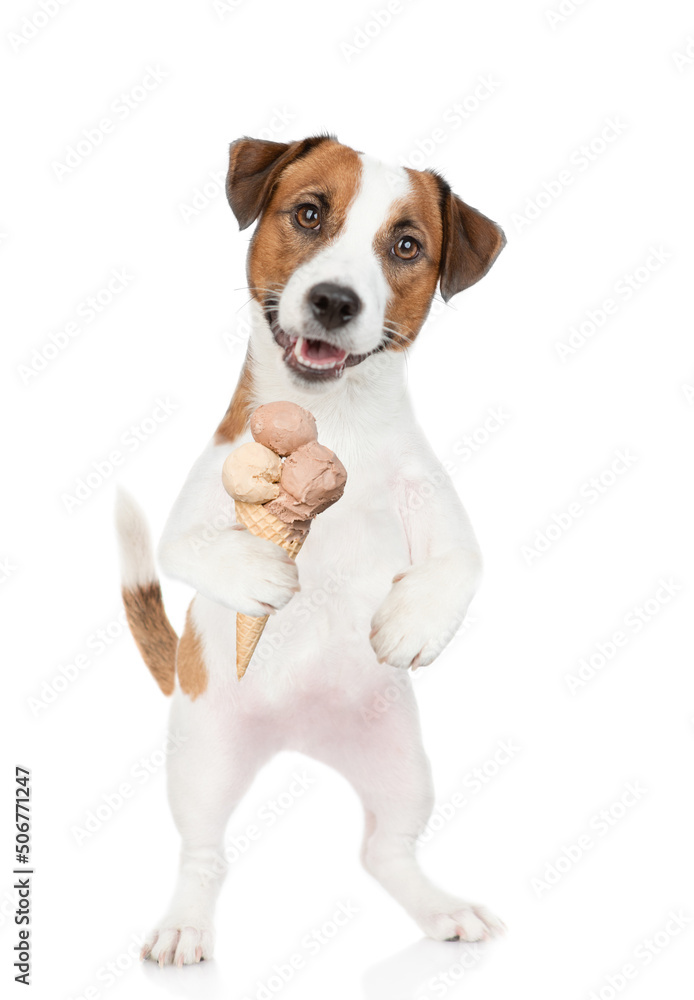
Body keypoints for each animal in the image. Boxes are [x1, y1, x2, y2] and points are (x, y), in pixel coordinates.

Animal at [115, 137, 506, 964]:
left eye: (405, 245)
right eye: (308, 213)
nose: (334, 301)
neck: (336, 419)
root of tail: (300, 735)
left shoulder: (435, 502)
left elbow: (463, 562)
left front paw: (413, 624)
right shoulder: (194, 511)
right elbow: (192, 545)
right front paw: (261, 574)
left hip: (403, 768)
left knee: (385, 851)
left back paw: (440, 910)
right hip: (201, 763)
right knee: (203, 854)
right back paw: (185, 925)